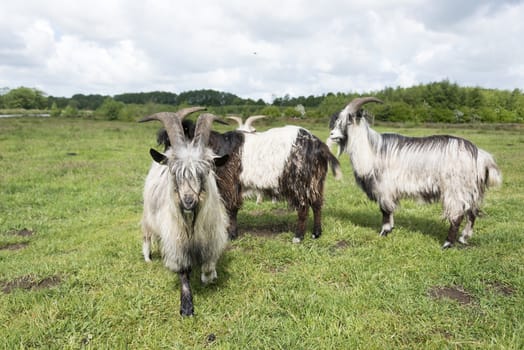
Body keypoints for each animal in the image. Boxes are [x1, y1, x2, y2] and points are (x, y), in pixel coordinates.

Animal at [140, 108, 228, 316]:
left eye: (204, 172)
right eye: (175, 172)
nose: (188, 201)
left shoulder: (212, 236)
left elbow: (208, 267)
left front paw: (209, 276)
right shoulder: (176, 241)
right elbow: (183, 272)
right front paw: (186, 307)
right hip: (148, 214)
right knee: (147, 235)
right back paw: (147, 258)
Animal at [158, 119, 342, 242]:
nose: (163, 160)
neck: (217, 148)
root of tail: (319, 145)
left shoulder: (229, 182)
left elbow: (231, 208)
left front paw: (231, 235)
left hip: (299, 182)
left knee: (303, 207)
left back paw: (298, 237)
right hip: (316, 181)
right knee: (317, 204)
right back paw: (316, 233)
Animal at [328, 97, 504, 247]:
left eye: (348, 121)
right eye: (337, 121)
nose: (331, 134)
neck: (372, 149)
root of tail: (480, 155)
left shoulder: (384, 187)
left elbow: (385, 210)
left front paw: (384, 232)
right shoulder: (390, 190)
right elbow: (390, 210)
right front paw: (390, 229)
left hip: (455, 188)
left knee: (457, 214)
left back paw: (448, 243)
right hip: (471, 190)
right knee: (472, 213)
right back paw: (463, 238)